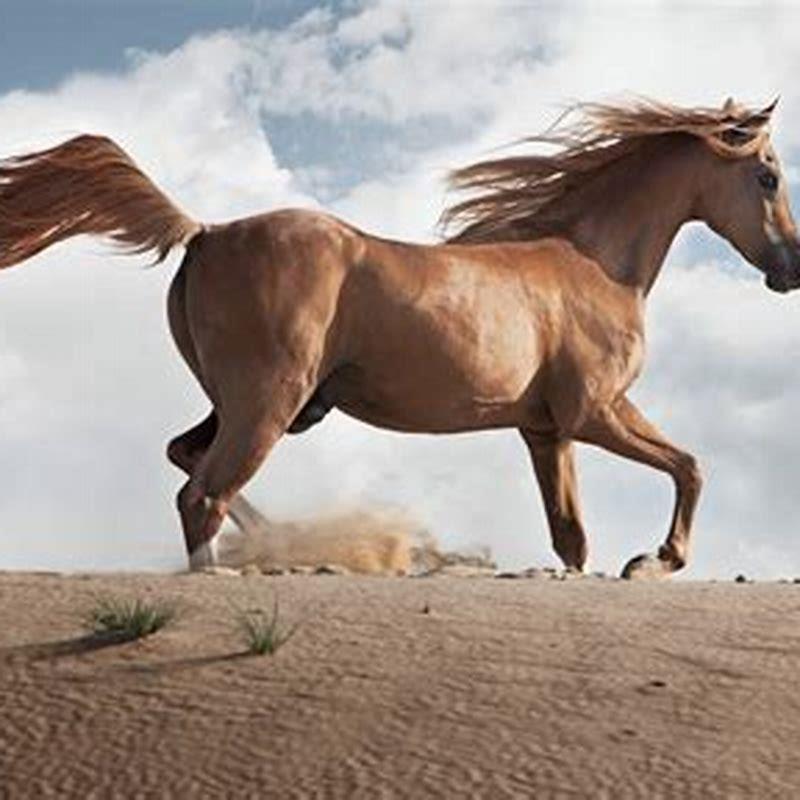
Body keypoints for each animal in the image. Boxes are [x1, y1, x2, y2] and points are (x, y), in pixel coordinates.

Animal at [1, 97, 798, 578]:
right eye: (767, 175)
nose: (790, 269)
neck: (592, 261)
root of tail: (206, 230)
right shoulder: (595, 411)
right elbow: (691, 467)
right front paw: (654, 561)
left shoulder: (546, 431)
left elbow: (571, 538)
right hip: (269, 403)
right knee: (202, 494)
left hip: (266, 406)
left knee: (188, 461)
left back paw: (278, 542)